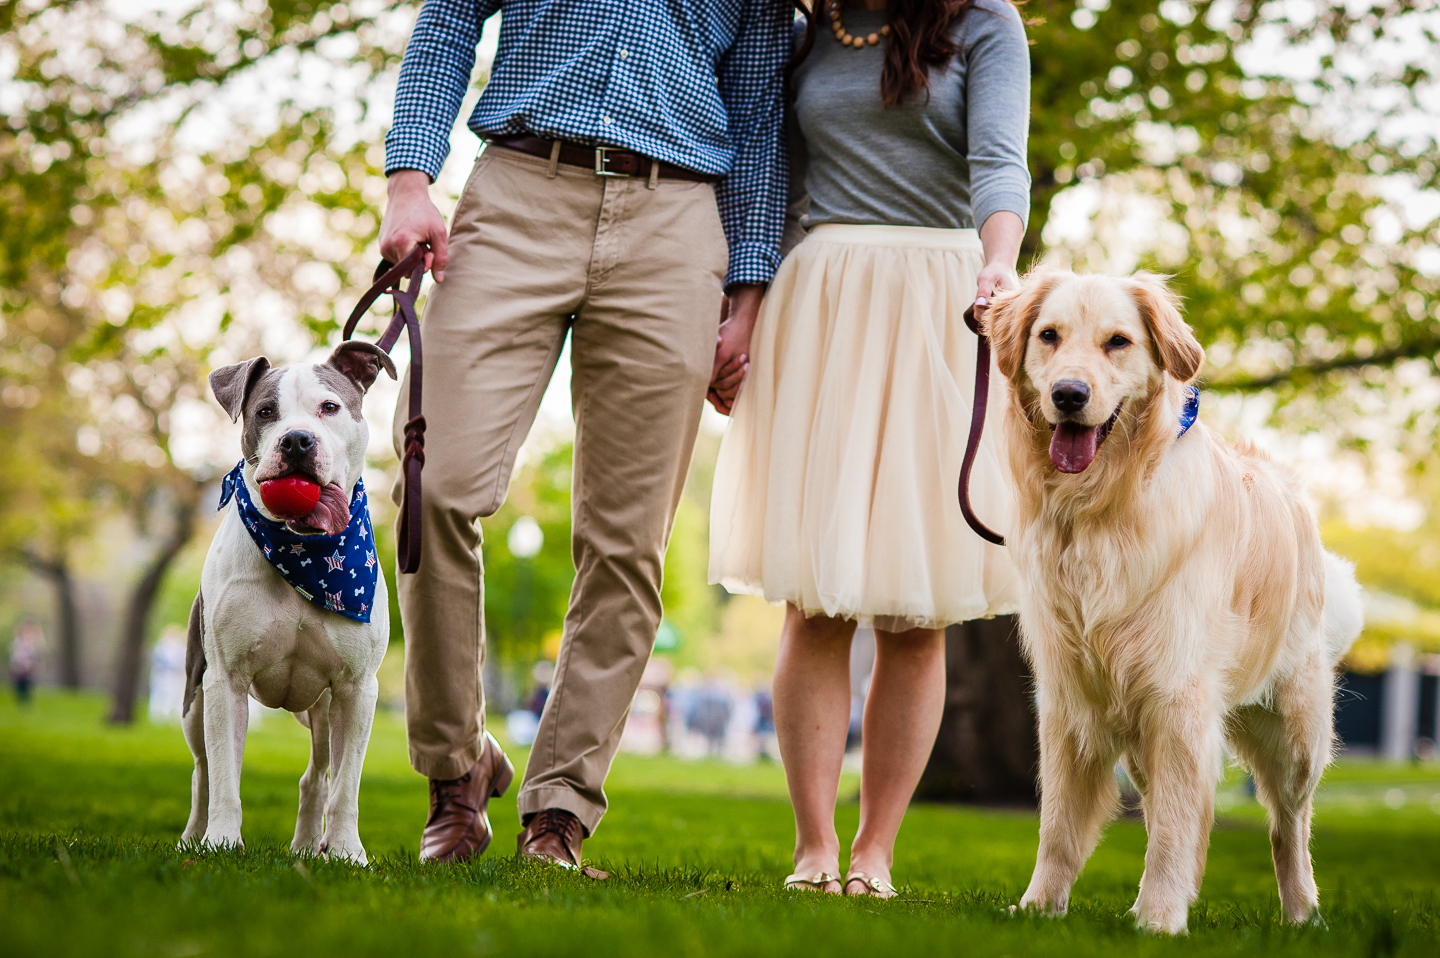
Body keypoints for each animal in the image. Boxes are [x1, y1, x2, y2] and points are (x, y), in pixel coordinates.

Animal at [182, 339, 403, 864]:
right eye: (266, 411)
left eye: (330, 407)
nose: (298, 440)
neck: (305, 555)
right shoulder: (225, 680)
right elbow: (225, 775)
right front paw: (222, 842)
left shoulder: (357, 689)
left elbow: (346, 786)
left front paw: (347, 851)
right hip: (194, 697)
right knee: (203, 772)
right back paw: (193, 838)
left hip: (323, 710)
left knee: (317, 776)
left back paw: (307, 848)